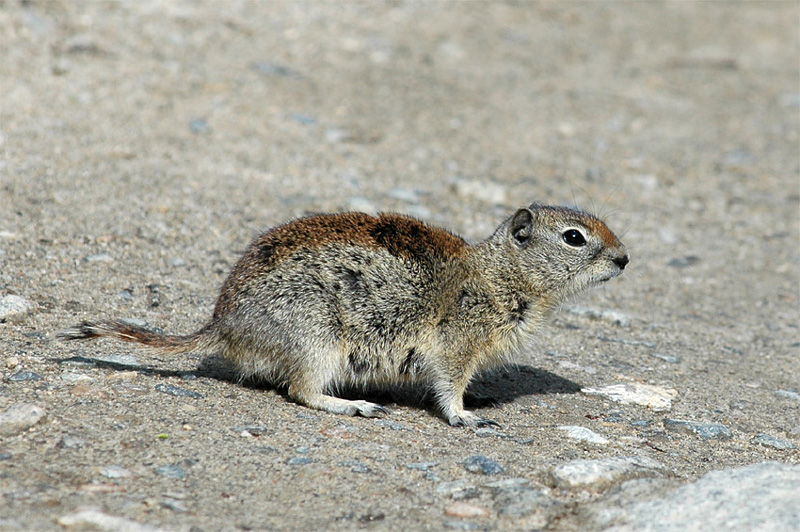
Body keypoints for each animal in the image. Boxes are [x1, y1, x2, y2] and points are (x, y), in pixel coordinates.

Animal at [61, 204, 624, 428]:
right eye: (574, 237)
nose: (624, 259)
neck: (499, 273)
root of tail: (222, 324)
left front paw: (479, 400)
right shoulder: (456, 344)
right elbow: (448, 386)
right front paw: (464, 415)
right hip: (316, 342)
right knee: (300, 391)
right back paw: (353, 406)